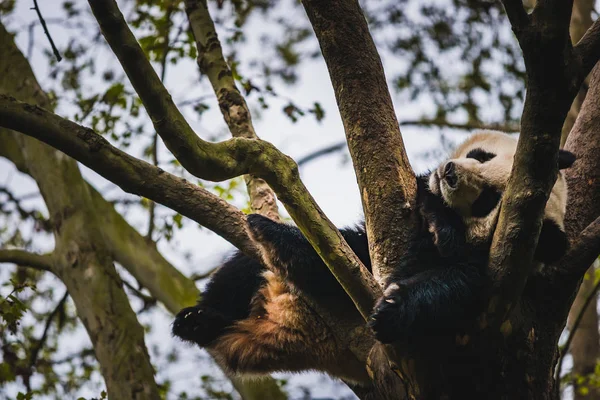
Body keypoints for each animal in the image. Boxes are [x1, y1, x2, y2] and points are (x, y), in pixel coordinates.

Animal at [171, 131, 576, 384]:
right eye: (481, 155)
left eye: (488, 200)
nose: (449, 173)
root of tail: (274, 327)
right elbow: (352, 244)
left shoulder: (499, 274)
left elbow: (452, 283)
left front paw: (392, 308)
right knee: (241, 272)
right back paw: (199, 320)